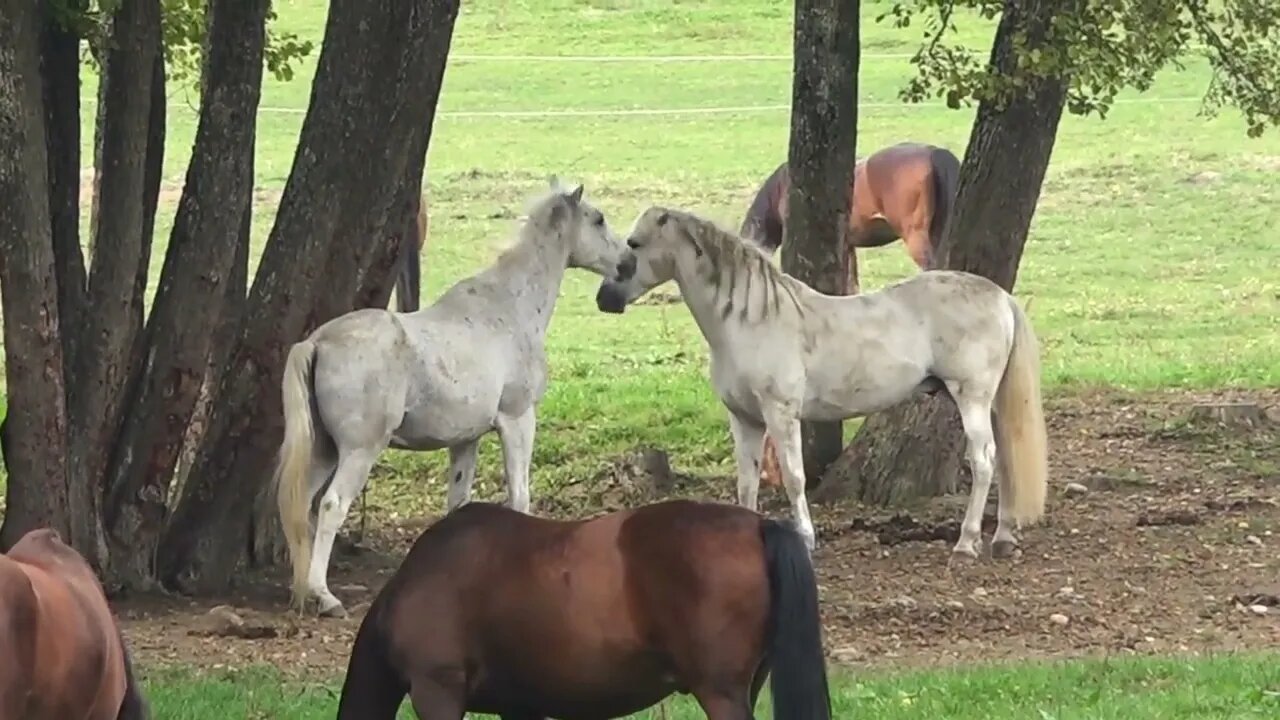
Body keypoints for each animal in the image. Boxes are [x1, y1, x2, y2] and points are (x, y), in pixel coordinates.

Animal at [277, 178, 627, 609]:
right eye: (598, 219)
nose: (627, 262)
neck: (508, 308)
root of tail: (318, 342)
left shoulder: (466, 440)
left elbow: (457, 505)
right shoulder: (518, 420)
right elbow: (519, 497)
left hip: (325, 450)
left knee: (300, 506)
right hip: (359, 452)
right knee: (330, 506)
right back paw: (323, 595)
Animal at [593, 204, 1044, 558]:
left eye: (635, 243)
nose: (604, 299)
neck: (750, 320)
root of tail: (1000, 296)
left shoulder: (780, 414)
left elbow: (795, 479)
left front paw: (807, 539)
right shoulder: (745, 419)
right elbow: (747, 484)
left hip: (971, 397)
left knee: (984, 461)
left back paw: (966, 544)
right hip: (987, 400)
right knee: (1005, 459)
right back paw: (1002, 538)